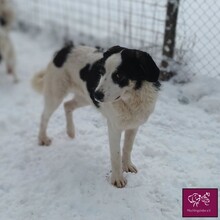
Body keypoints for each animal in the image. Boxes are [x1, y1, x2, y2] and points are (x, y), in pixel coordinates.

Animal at [31, 43, 160, 187]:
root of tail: (65, 49)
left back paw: (70, 132)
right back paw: (43, 138)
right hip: (56, 95)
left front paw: (127, 166)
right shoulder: (114, 127)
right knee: (44, 116)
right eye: (102, 72)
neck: (131, 98)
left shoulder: (134, 126)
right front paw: (117, 179)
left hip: (84, 98)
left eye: (118, 75)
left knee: (67, 105)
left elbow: (128, 147)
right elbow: (116, 155)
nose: (97, 95)